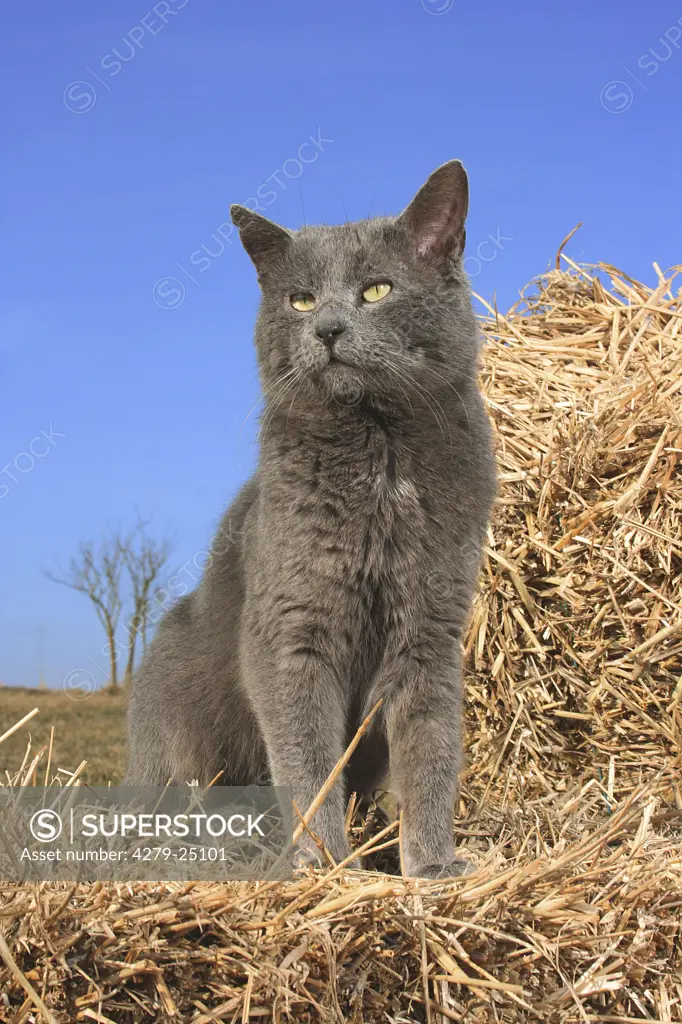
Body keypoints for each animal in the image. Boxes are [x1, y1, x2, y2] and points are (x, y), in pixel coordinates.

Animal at [124, 161, 493, 880]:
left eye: (376, 289)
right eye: (299, 300)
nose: (326, 329)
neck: (381, 455)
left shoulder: (430, 635)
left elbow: (432, 754)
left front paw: (432, 868)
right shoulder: (292, 632)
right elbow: (306, 758)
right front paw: (324, 866)